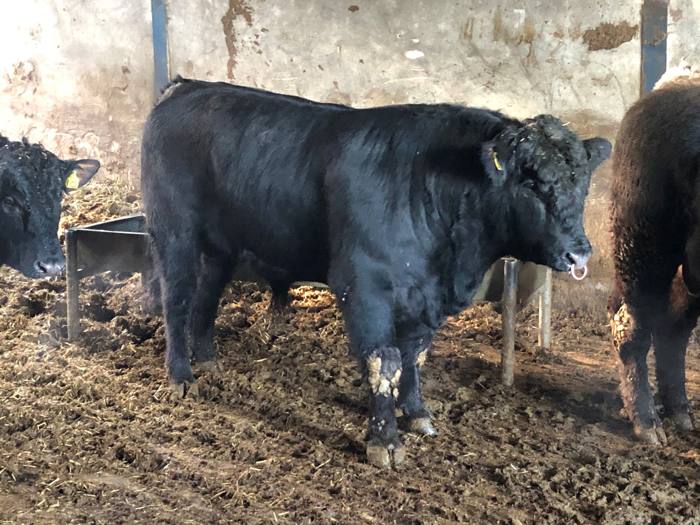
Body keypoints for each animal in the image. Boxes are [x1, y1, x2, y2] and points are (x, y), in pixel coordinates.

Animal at [141, 77, 611, 468]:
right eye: (531, 183)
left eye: (583, 182)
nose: (579, 254)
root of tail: (188, 87)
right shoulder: (364, 287)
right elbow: (383, 361)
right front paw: (384, 440)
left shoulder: (427, 295)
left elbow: (415, 353)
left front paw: (416, 413)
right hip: (175, 231)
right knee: (176, 298)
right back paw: (181, 376)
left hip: (222, 247)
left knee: (207, 295)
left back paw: (208, 361)